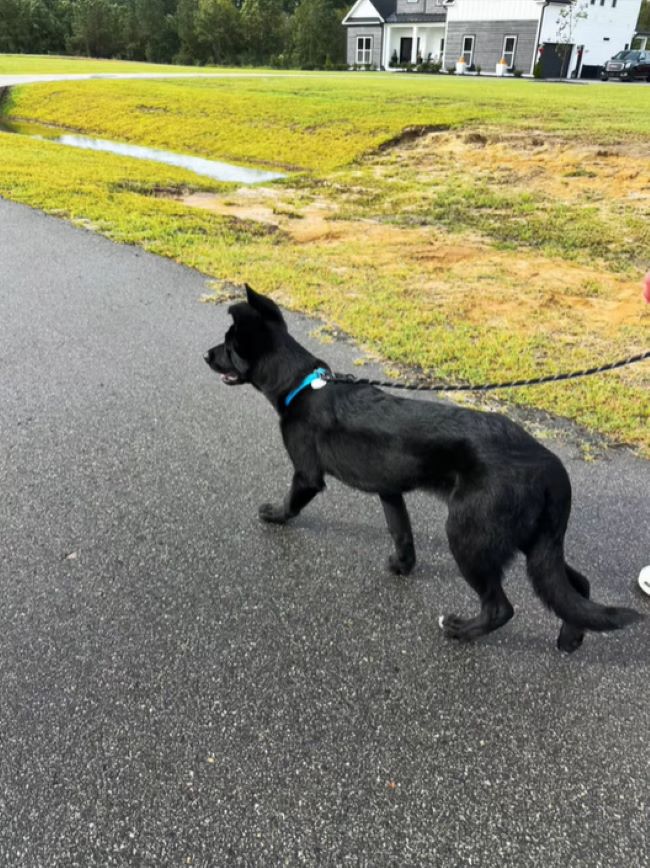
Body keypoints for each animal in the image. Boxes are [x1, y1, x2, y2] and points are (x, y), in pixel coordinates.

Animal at [205, 284, 640, 652]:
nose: (205, 355)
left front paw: (275, 515)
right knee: (576, 586)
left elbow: (293, 500)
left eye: (228, 345)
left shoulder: (307, 475)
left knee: (502, 608)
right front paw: (403, 566)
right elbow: (401, 532)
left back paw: (462, 630)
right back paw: (570, 638)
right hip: (534, 542)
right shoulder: (389, 490)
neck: (301, 383)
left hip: (469, 535)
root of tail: (549, 464)